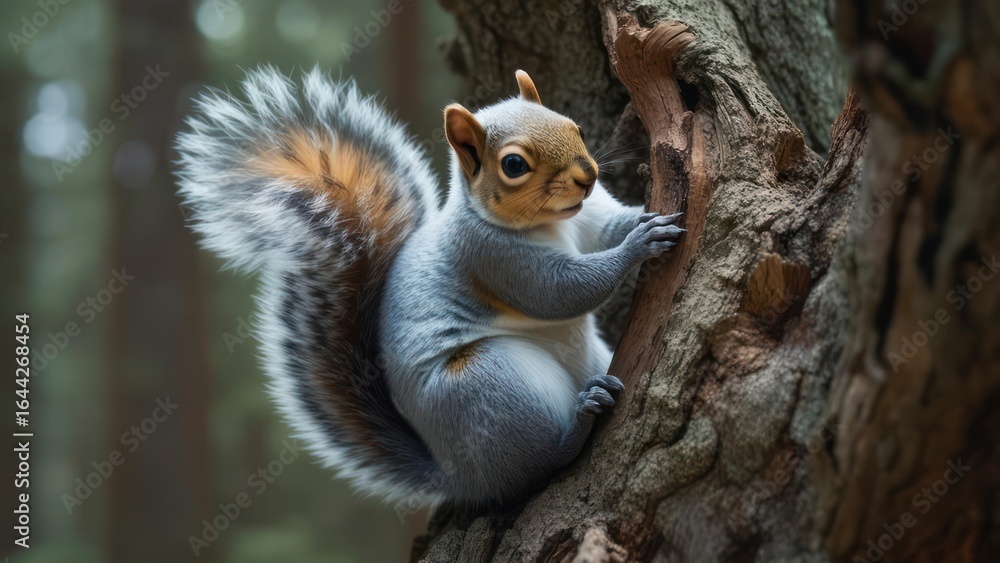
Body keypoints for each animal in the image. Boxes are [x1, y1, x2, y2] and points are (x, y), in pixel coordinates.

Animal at [175, 66, 684, 509]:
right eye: (513, 164)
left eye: (573, 126)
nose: (588, 176)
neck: (553, 223)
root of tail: (460, 478)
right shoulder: (491, 259)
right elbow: (562, 291)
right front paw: (638, 247)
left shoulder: (590, 219)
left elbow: (609, 229)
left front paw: (648, 221)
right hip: (485, 388)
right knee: (540, 463)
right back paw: (579, 422)